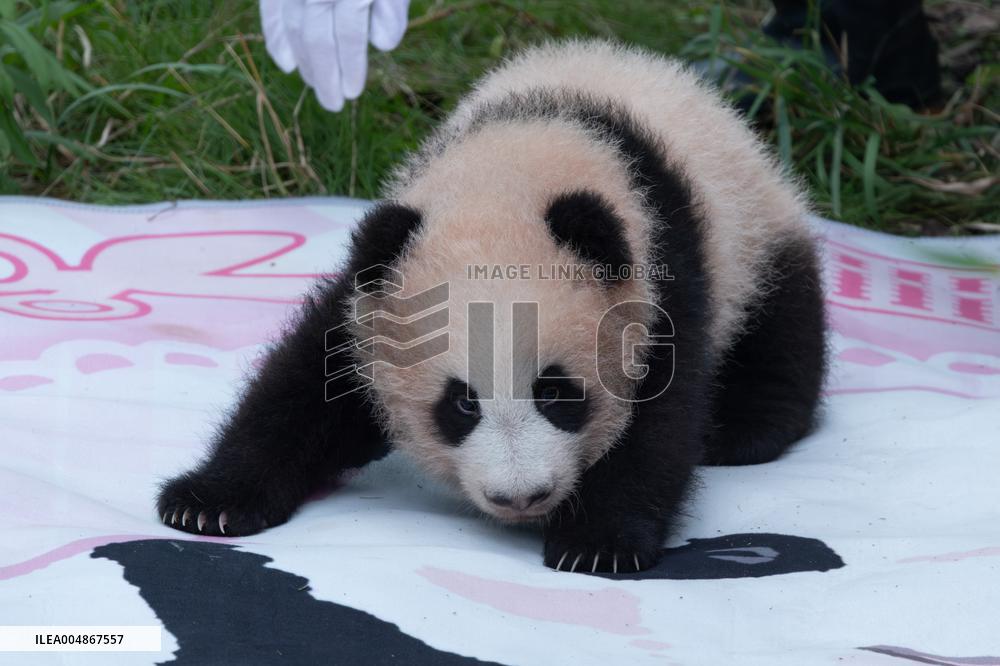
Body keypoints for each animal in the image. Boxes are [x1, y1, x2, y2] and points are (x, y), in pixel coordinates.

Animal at [157, 40, 827, 573]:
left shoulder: (660, 273)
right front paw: (207, 505)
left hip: (753, 225)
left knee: (782, 323)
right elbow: (303, 386)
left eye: (556, 393)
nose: (521, 497)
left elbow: (662, 419)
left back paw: (742, 430)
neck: (516, 167)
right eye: (460, 404)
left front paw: (596, 543)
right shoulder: (377, 287)